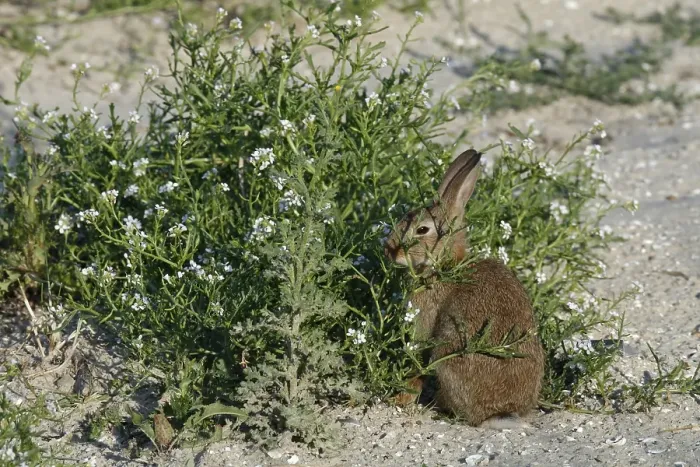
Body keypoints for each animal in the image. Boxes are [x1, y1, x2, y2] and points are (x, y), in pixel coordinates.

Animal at [384, 149, 545, 429]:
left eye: (422, 229)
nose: (388, 250)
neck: (446, 266)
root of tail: (500, 412)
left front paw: (403, 396)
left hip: (447, 359)